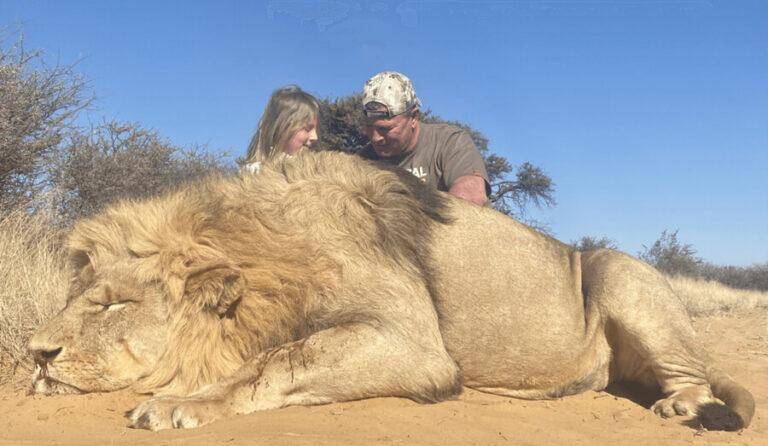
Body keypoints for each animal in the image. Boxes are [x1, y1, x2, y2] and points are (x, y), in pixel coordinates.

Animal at [29, 151, 754, 432]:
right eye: (75, 295)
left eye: (113, 302)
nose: (35, 354)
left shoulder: (415, 347)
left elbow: (276, 361)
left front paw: (178, 402)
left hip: (622, 273)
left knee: (691, 375)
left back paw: (683, 407)